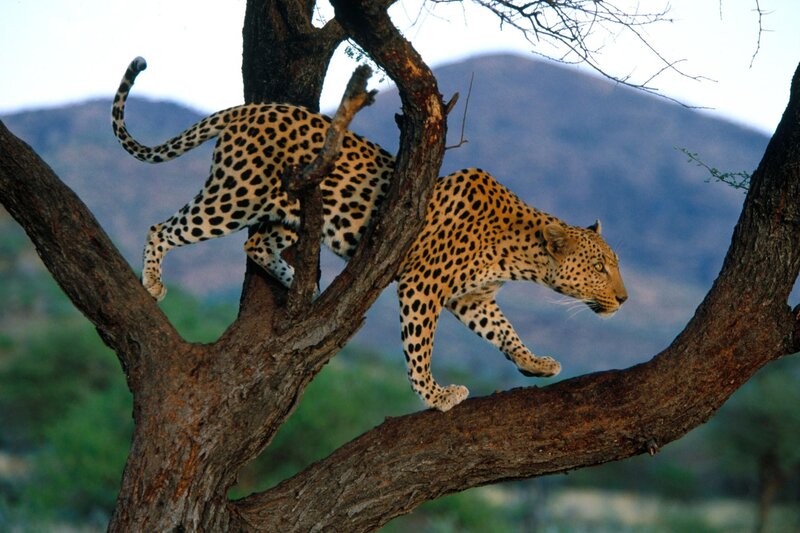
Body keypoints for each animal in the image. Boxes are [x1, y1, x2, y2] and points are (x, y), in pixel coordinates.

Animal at [112, 57, 628, 412]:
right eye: (601, 267)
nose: (623, 300)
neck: (520, 255)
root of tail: (249, 108)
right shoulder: (423, 284)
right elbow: (419, 346)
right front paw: (436, 395)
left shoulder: (473, 298)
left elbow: (505, 331)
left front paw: (534, 362)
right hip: (235, 195)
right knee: (166, 227)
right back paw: (154, 281)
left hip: (286, 210)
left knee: (256, 243)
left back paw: (302, 284)